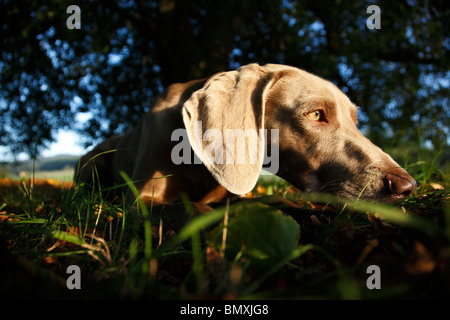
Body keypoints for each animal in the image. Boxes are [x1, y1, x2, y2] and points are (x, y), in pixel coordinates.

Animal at [75, 63, 416, 211]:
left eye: (356, 121)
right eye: (316, 114)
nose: (406, 186)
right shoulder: (141, 199)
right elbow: (187, 207)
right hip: (92, 162)